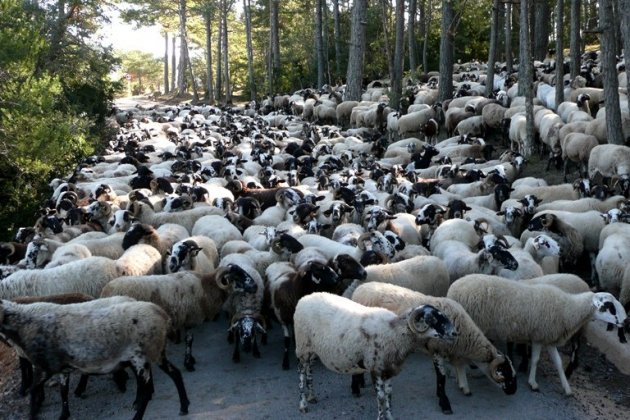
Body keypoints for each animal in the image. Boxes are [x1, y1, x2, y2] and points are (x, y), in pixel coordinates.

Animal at [294, 292, 456, 420]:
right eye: (431, 319)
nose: (455, 333)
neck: (394, 332)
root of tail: (304, 298)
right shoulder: (375, 368)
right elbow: (381, 397)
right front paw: (381, 417)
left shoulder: (389, 367)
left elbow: (389, 394)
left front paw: (390, 416)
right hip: (302, 347)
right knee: (301, 373)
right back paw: (303, 404)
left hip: (312, 349)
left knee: (309, 371)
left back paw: (312, 396)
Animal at [450, 274, 628, 396]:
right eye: (609, 307)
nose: (626, 321)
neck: (568, 309)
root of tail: (454, 287)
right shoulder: (538, 336)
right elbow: (535, 360)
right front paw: (533, 383)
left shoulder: (549, 339)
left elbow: (558, 363)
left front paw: (567, 388)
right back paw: (464, 382)